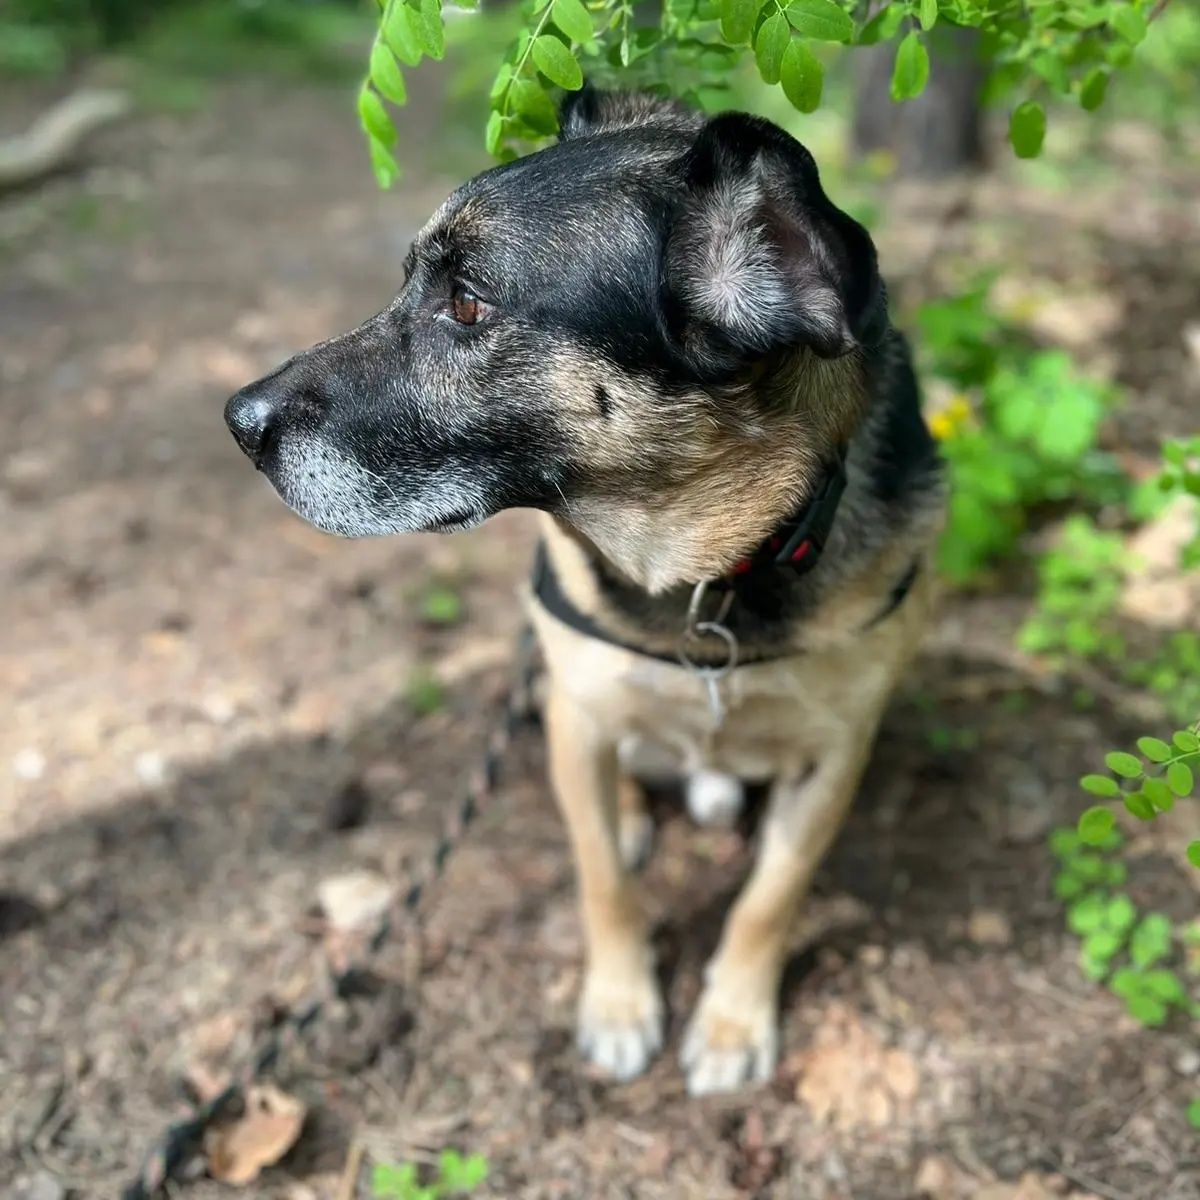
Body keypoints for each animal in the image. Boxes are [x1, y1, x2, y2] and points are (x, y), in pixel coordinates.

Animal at [220, 87, 940, 1099]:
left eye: (467, 301)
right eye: (408, 283)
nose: (237, 423)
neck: (706, 578)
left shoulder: (833, 761)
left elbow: (770, 898)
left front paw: (731, 1022)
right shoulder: (580, 718)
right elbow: (604, 879)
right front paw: (620, 1006)